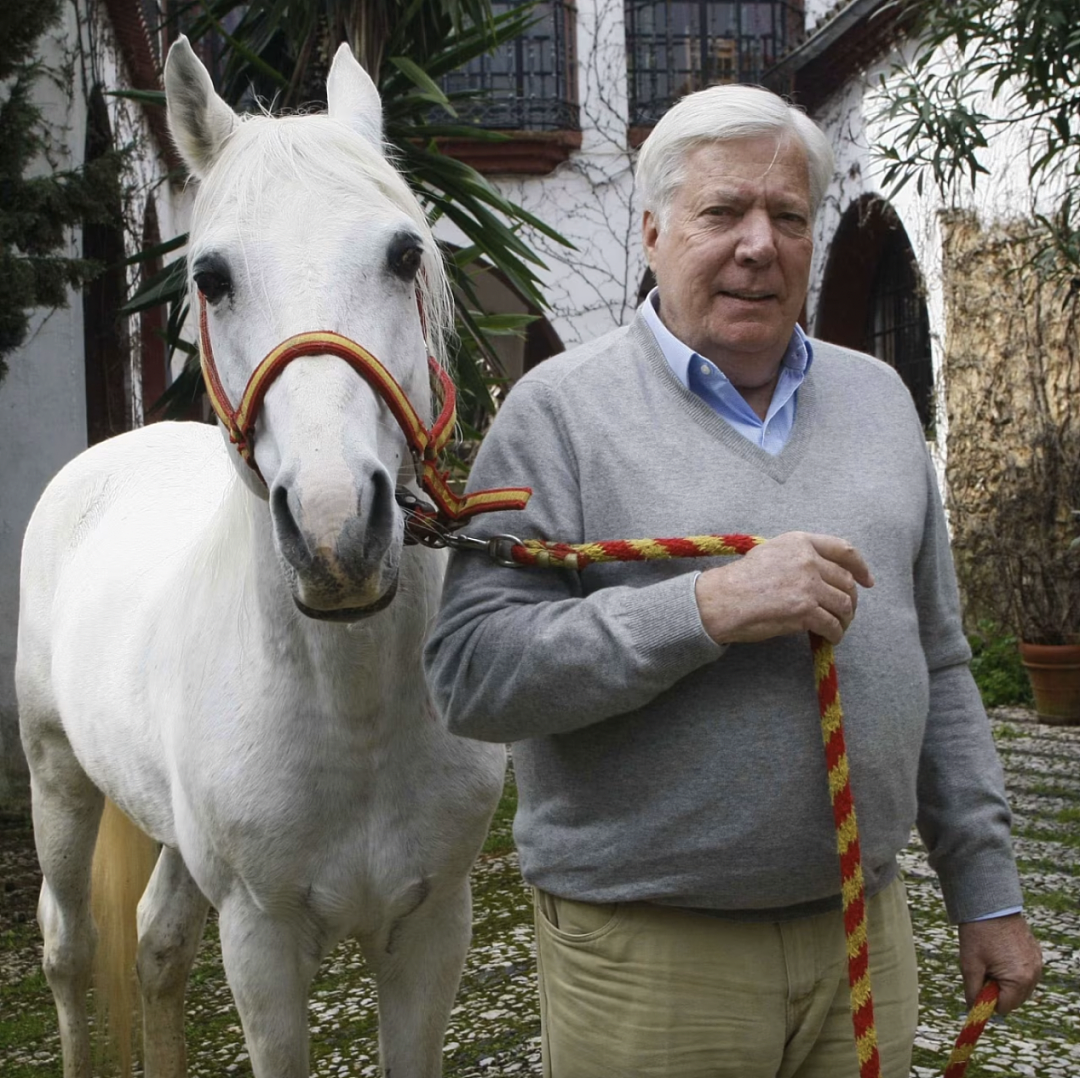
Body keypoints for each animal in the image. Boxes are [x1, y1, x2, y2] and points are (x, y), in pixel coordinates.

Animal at [15, 36, 506, 1078]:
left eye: (405, 253)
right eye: (209, 277)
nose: (335, 533)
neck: (352, 714)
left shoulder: (433, 930)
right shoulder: (262, 945)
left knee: (157, 945)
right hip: (57, 779)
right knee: (70, 946)